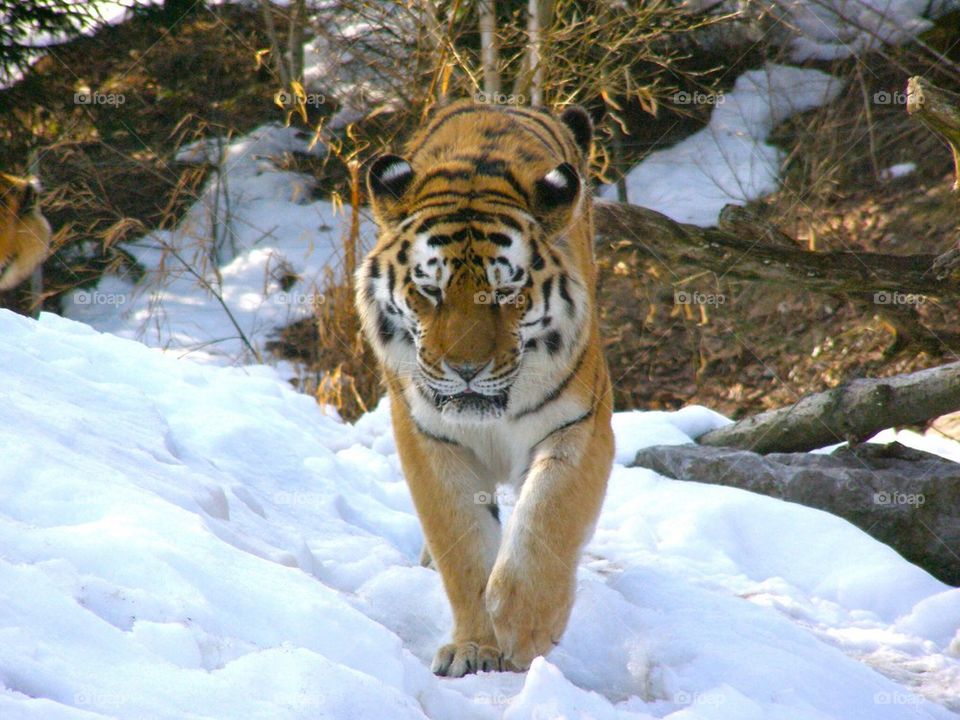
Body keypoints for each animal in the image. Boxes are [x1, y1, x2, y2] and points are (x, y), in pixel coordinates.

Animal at [356, 100, 614, 678]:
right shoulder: (429, 437)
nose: (466, 369)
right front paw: (475, 646)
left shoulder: (579, 424)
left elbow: (548, 518)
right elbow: (465, 546)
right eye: (429, 290)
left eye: (505, 292)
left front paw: (525, 625)